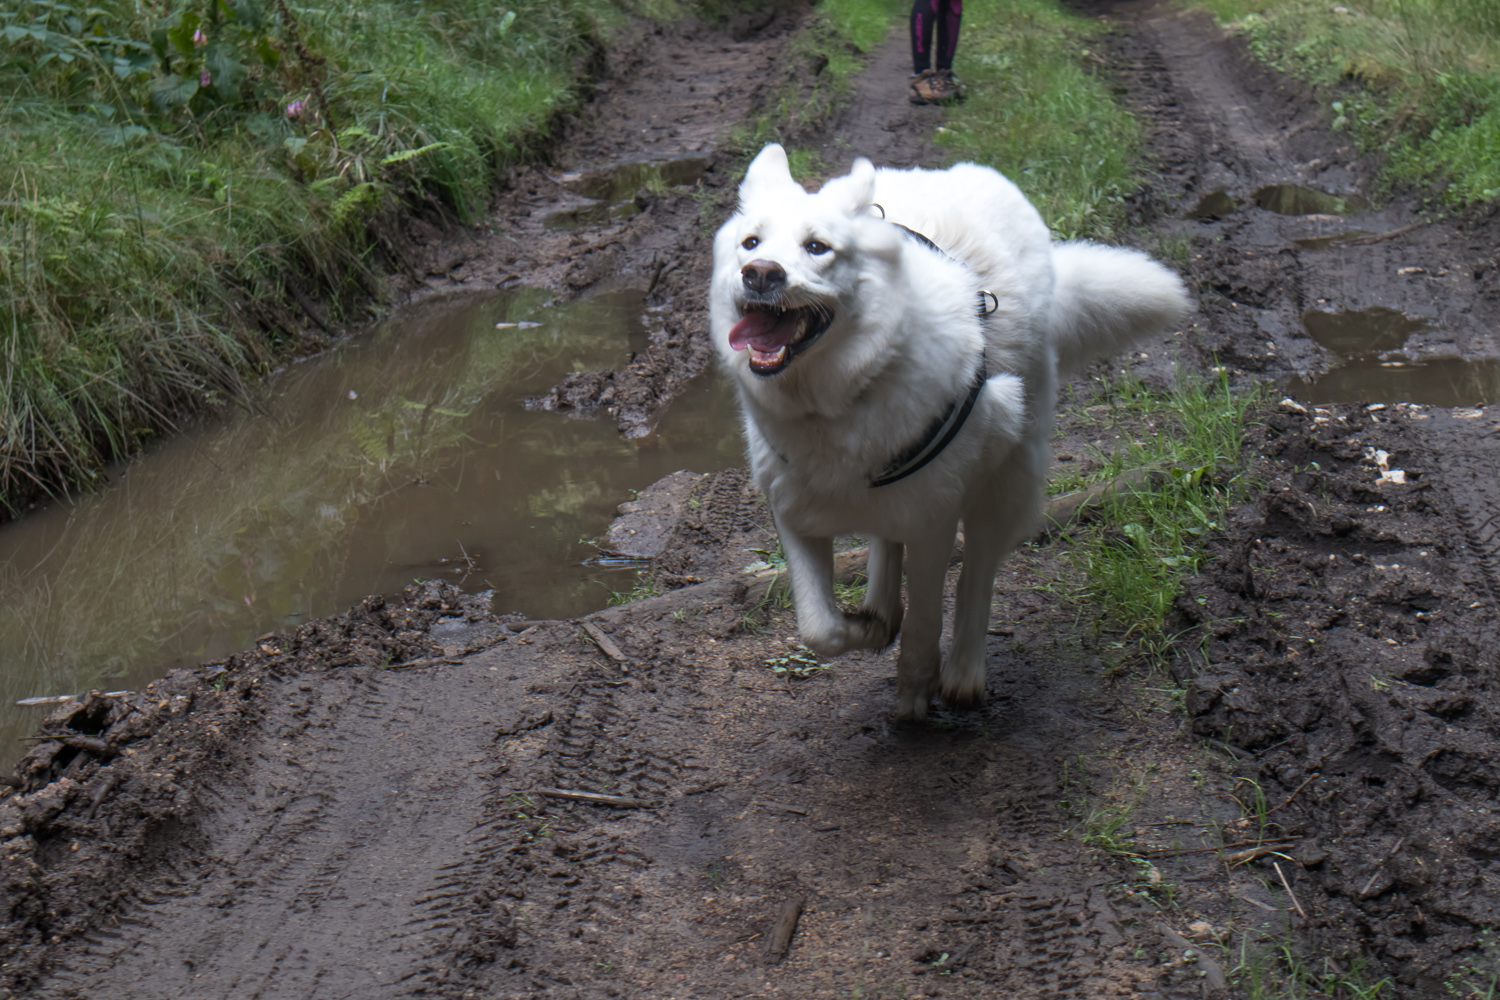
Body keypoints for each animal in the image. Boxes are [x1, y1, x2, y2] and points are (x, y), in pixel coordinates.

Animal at [710, 143, 1191, 720]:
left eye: (817, 247)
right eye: (751, 244)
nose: (760, 273)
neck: (839, 400)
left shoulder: (933, 522)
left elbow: (927, 617)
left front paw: (916, 688)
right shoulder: (795, 513)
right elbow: (819, 630)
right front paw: (866, 629)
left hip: (1007, 479)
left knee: (976, 574)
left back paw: (963, 672)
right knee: (889, 546)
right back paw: (880, 612)